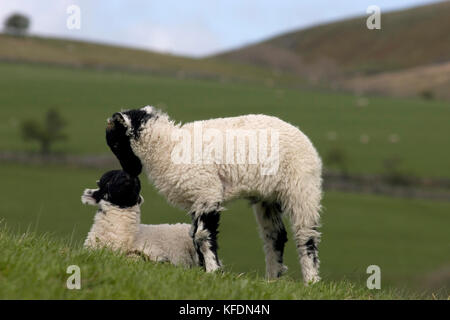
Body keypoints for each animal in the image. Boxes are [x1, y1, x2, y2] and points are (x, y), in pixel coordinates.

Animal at [105, 105, 324, 282]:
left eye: (115, 143)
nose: (131, 172)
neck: (167, 147)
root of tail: (305, 139)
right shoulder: (196, 197)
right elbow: (193, 236)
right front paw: (203, 270)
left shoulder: (206, 192)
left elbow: (202, 236)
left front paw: (212, 271)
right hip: (267, 197)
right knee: (275, 236)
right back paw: (273, 279)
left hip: (301, 189)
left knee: (306, 236)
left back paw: (311, 281)